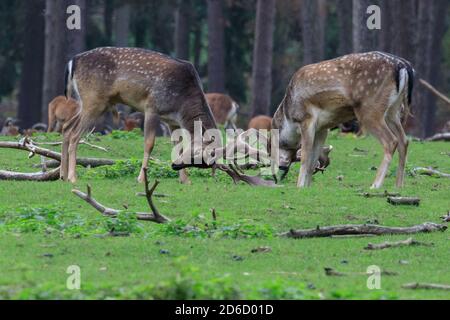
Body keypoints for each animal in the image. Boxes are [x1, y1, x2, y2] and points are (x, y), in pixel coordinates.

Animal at [270, 51, 414, 189]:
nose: (282, 168)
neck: (288, 118)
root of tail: (404, 66)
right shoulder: (323, 128)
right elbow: (313, 161)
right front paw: (307, 186)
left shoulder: (307, 119)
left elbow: (306, 156)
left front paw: (299, 186)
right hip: (393, 111)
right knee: (404, 141)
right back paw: (399, 185)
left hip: (370, 110)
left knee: (391, 141)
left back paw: (375, 185)